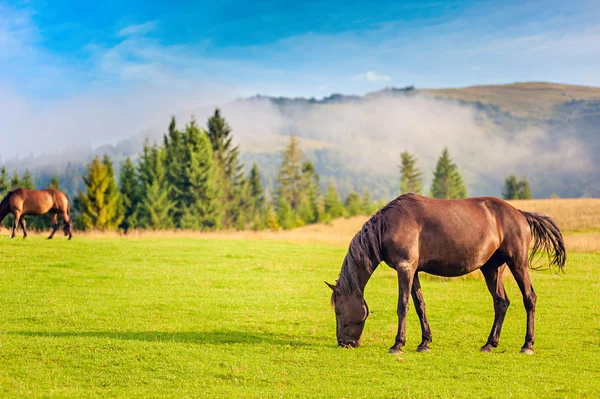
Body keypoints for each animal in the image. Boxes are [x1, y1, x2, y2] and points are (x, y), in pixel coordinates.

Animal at [326, 194, 564, 356]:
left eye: (338, 310)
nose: (344, 343)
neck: (390, 225)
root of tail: (520, 213)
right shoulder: (414, 271)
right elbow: (420, 305)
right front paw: (424, 343)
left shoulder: (405, 269)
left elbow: (403, 306)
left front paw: (398, 344)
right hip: (492, 269)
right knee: (501, 302)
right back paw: (489, 344)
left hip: (518, 264)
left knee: (529, 298)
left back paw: (527, 345)